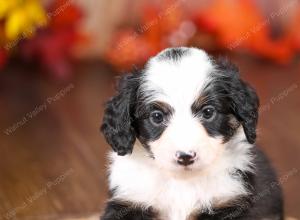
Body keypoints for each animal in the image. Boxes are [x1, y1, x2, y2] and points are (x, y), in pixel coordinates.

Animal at [100, 47, 284, 219]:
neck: (182, 181)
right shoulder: (130, 201)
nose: (185, 157)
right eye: (157, 116)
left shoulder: (228, 201)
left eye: (208, 112)